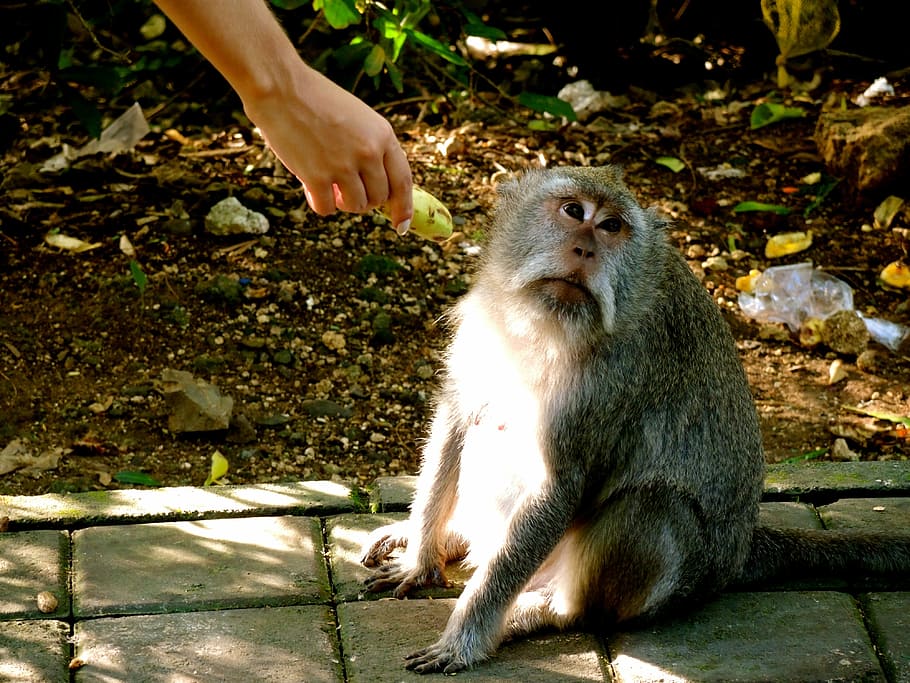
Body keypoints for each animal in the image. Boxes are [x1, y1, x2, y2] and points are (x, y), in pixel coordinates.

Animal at [359, 165, 910, 674]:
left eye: (612, 226)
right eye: (574, 211)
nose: (584, 251)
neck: (543, 325)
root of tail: (738, 553)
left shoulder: (609, 381)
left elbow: (559, 485)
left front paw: (465, 639)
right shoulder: (485, 324)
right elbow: (456, 419)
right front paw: (420, 559)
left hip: (674, 575)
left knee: (652, 508)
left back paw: (543, 612)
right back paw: (453, 538)